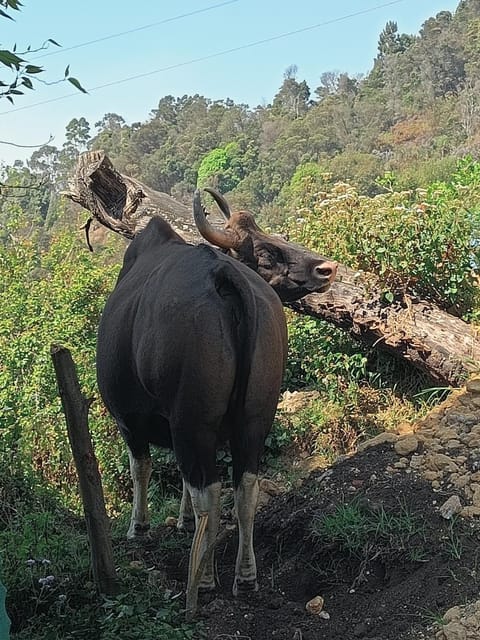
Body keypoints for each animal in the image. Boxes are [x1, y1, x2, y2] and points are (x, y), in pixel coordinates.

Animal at [96, 191, 338, 616]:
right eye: (266, 251)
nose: (325, 268)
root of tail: (224, 275)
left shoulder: (130, 420)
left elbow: (143, 468)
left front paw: (138, 528)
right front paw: (183, 522)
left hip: (194, 421)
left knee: (208, 491)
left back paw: (204, 581)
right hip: (255, 419)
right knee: (245, 489)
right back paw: (246, 576)